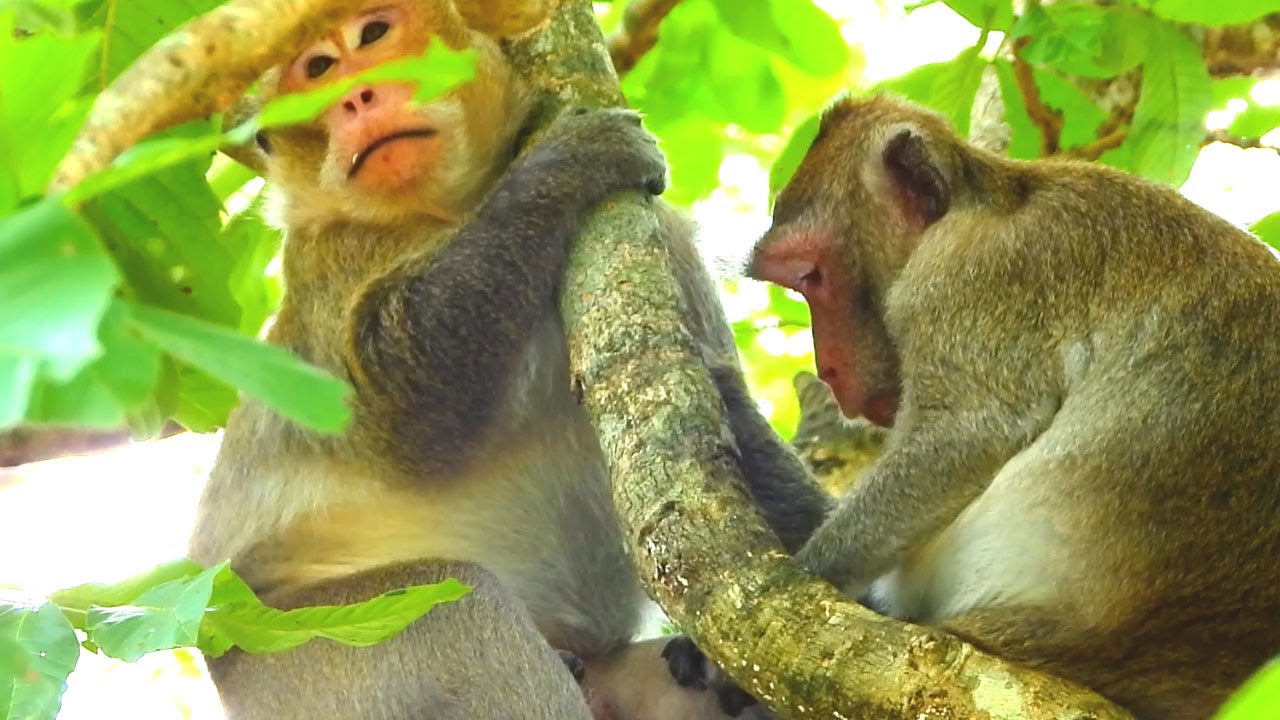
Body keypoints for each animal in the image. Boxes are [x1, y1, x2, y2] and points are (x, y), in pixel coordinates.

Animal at [185, 1, 829, 718]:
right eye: (319, 68)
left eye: (373, 34)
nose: (356, 98)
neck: (455, 208)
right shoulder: (331, 260)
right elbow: (405, 409)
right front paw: (564, 168)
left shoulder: (662, 235)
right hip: (292, 650)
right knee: (455, 605)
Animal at [741, 92, 1280, 719]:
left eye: (811, 276)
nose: (826, 366)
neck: (982, 201)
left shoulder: (960, 282)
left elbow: (968, 435)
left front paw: (806, 574)